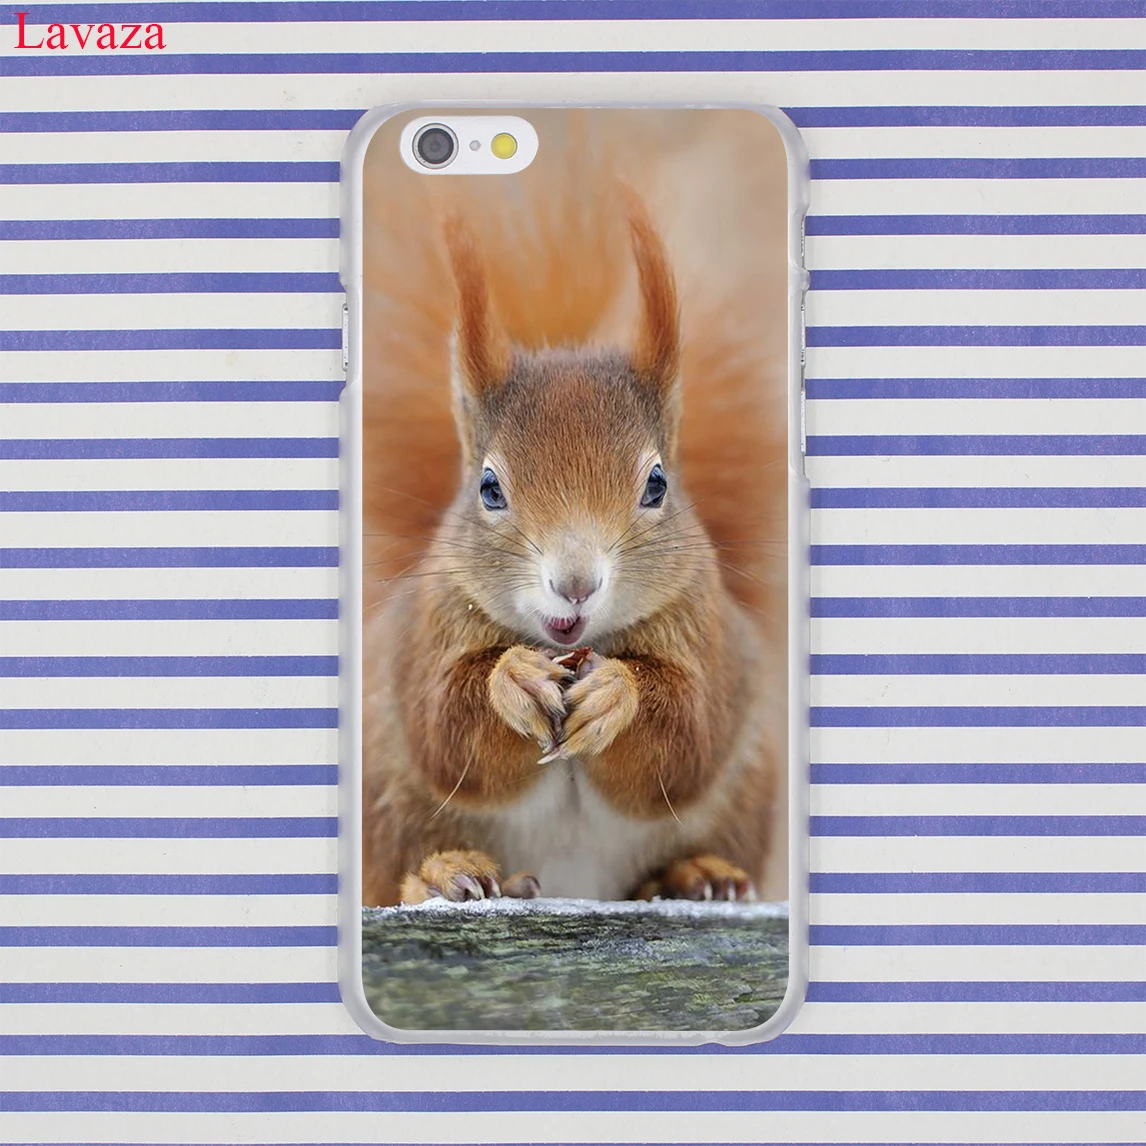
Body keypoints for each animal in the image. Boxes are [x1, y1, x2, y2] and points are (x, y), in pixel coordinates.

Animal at [361, 114, 787, 906]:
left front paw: (620, 693)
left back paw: (694, 873)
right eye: (490, 489)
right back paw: (443, 871)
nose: (576, 584)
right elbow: (446, 726)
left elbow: (687, 737)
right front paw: (512, 679)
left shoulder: (708, 632)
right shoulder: (427, 633)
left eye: (656, 485)